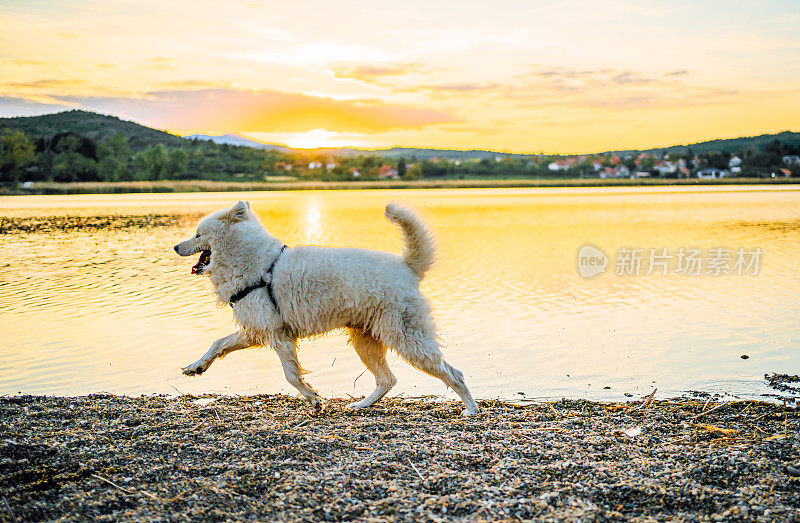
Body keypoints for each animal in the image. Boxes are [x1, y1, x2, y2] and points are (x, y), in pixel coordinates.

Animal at [175, 202, 476, 418]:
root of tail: (408, 267)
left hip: (407, 339)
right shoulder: (257, 330)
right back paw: (360, 406)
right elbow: (218, 344)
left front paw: (313, 399)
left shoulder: (278, 337)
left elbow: (291, 376)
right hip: (367, 342)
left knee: (454, 374)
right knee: (387, 380)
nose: (176, 246)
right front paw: (196, 367)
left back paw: (471, 410)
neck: (258, 263)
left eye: (198, 234)